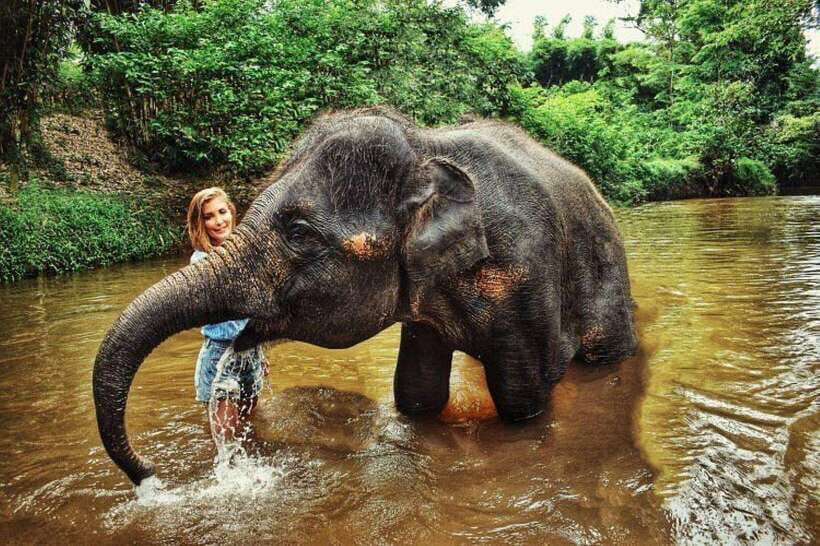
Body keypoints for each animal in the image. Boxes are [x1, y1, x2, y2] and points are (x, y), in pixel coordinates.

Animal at [93, 107, 637, 485]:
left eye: (300, 232)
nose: (149, 473)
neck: (425, 148)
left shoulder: (524, 274)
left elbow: (521, 398)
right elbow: (416, 392)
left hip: (607, 274)